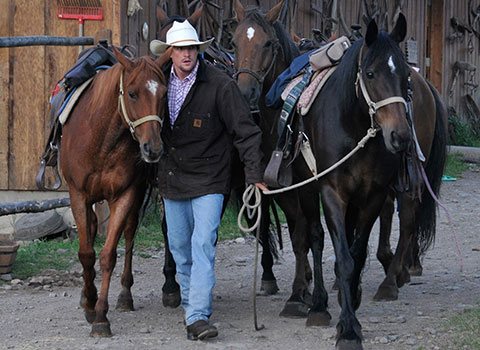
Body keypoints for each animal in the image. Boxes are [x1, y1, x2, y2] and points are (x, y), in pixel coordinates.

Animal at [61, 47, 171, 336]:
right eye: (132, 93)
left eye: (164, 94)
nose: (153, 148)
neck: (102, 141)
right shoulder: (78, 195)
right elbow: (86, 253)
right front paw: (89, 304)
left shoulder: (124, 195)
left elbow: (108, 254)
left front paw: (101, 315)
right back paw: (85, 295)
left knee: (129, 235)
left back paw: (124, 296)